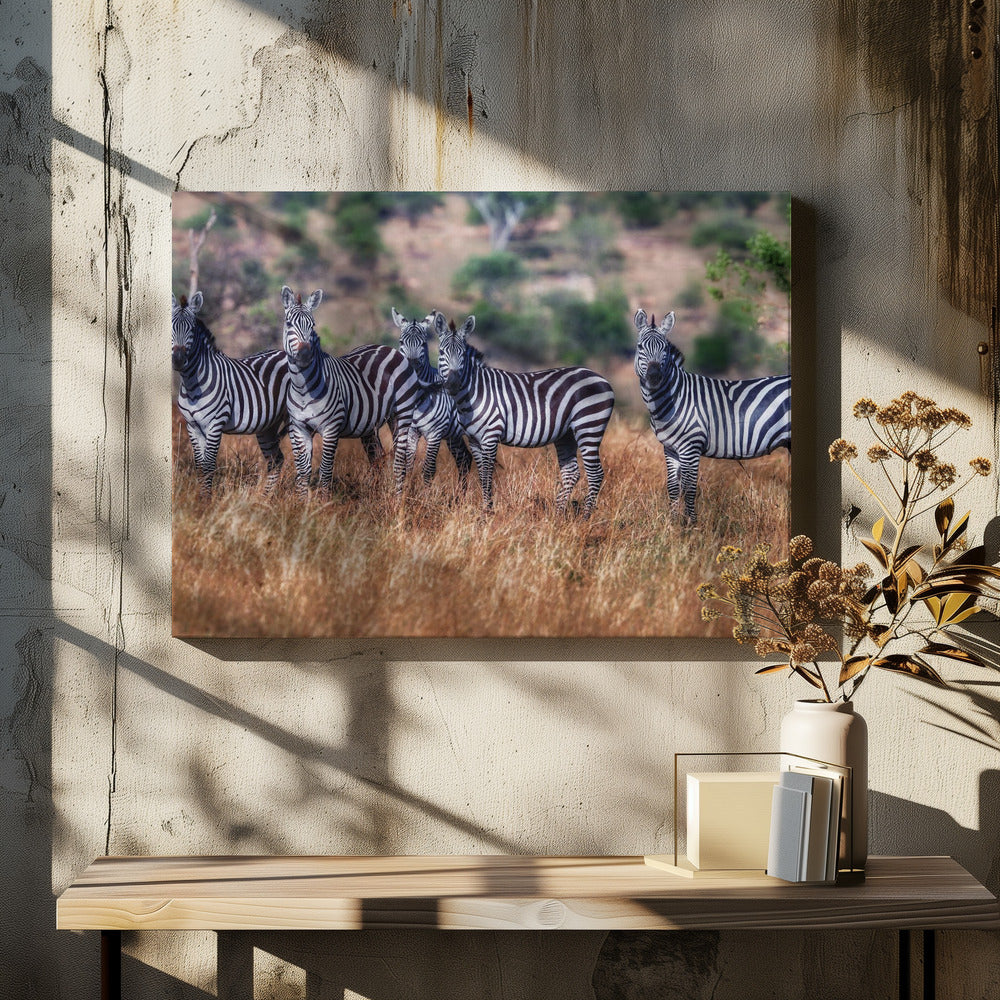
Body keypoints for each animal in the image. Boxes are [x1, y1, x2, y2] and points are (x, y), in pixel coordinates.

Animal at [171, 291, 289, 495]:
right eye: (171, 326)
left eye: (192, 330)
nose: (178, 360)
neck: (192, 383)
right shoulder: (192, 426)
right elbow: (199, 465)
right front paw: (200, 498)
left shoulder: (215, 424)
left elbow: (208, 465)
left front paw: (206, 499)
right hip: (268, 425)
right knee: (276, 460)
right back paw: (265, 499)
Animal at [281, 286, 420, 498]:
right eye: (288, 324)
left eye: (312, 325)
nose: (304, 355)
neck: (303, 388)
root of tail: (387, 348)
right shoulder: (299, 428)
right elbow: (303, 471)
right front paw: (300, 502)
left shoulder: (331, 428)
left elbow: (325, 470)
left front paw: (323, 503)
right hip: (372, 424)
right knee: (377, 457)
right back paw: (376, 496)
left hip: (402, 413)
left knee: (400, 460)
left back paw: (399, 499)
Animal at [391, 307, 473, 487]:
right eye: (401, 342)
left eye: (423, 344)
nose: (411, 368)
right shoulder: (412, 431)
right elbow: (409, 465)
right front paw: (407, 491)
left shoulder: (435, 433)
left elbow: (428, 469)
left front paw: (424, 494)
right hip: (453, 435)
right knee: (464, 459)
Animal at [435, 312, 615, 516]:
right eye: (441, 353)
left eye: (462, 355)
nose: (453, 384)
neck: (474, 393)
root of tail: (602, 379)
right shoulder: (474, 440)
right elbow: (481, 475)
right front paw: (486, 509)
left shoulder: (490, 436)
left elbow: (487, 475)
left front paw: (487, 513)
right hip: (567, 434)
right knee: (571, 472)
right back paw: (558, 516)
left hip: (589, 427)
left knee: (595, 474)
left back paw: (585, 517)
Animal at [632, 308, 791, 523]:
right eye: (640, 346)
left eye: (664, 348)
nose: (654, 376)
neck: (675, 398)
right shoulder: (670, 449)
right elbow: (673, 487)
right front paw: (673, 524)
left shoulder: (691, 446)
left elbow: (690, 488)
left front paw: (691, 525)